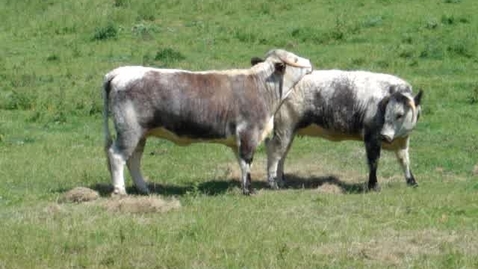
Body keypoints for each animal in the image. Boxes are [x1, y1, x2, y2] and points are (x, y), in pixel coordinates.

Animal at [102, 48, 314, 195]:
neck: (261, 86)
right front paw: (249, 190)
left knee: (134, 160)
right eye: (295, 59)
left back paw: (144, 188)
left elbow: (241, 162)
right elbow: (247, 161)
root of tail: (121, 72)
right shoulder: (249, 133)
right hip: (129, 131)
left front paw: (243, 187)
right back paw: (120, 190)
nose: (310, 62)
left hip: (140, 134)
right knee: (117, 155)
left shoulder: (238, 139)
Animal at [258, 69, 422, 191]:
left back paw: (281, 181)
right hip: (284, 130)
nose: (385, 136)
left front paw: (411, 181)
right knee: (274, 151)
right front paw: (373, 185)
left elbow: (404, 159)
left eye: (400, 114)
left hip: (289, 132)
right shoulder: (372, 137)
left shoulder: (403, 140)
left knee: (282, 154)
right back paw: (273, 183)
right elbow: (373, 161)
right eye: (386, 113)